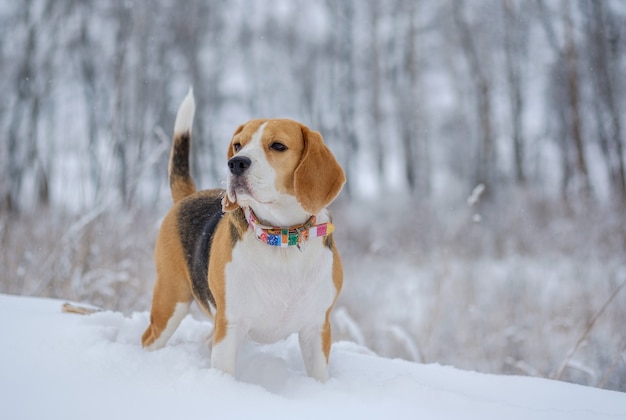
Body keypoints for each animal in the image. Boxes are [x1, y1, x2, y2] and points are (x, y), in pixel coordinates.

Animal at [140, 90, 346, 382]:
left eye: (278, 146)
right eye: (238, 145)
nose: (235, 163)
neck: (282, 237)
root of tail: (189, 195)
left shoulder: (316, 328)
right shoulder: (230, 324)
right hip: (171, 301)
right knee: (149, 338)